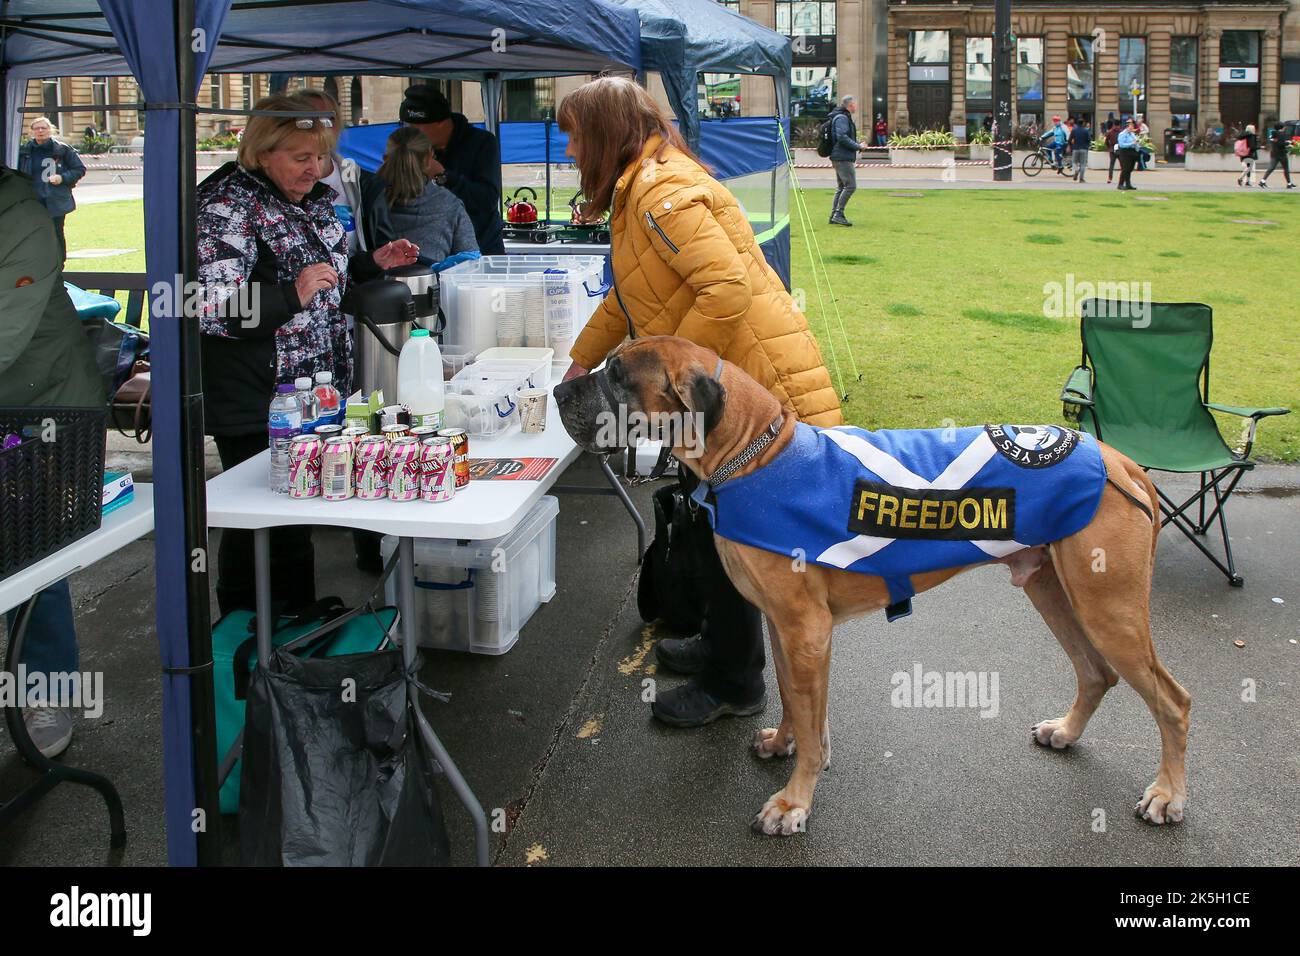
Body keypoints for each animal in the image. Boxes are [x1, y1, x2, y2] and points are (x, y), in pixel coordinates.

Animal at [553, 335, 1190, 837]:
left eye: (617, 375)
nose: (559, 392)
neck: (752, 454)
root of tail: (1119, 460)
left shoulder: (807, 631)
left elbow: (814, 725)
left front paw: (794, 802)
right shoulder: (786, 627)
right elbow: (794, 701)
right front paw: (783, 745)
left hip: (1109, 607)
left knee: (1173, 701)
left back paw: (1167, 795)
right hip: (1054, 591)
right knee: (1096, 672)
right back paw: (1067, 732)